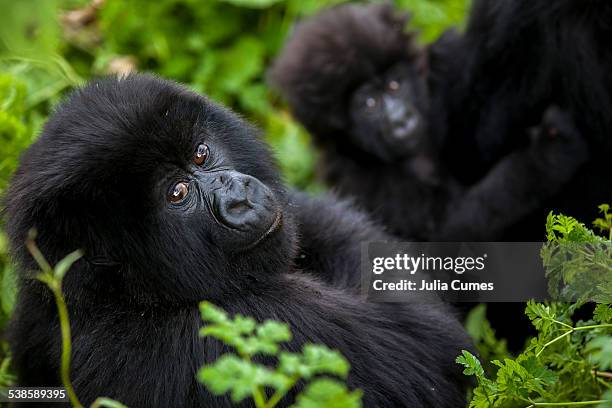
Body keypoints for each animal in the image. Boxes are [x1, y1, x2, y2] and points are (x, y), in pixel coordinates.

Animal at [4, 75, 470, 406]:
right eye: (178, 193)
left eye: (200, 154)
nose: (239, 197)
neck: (110, 296)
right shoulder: (257, 323)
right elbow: (428, 352)